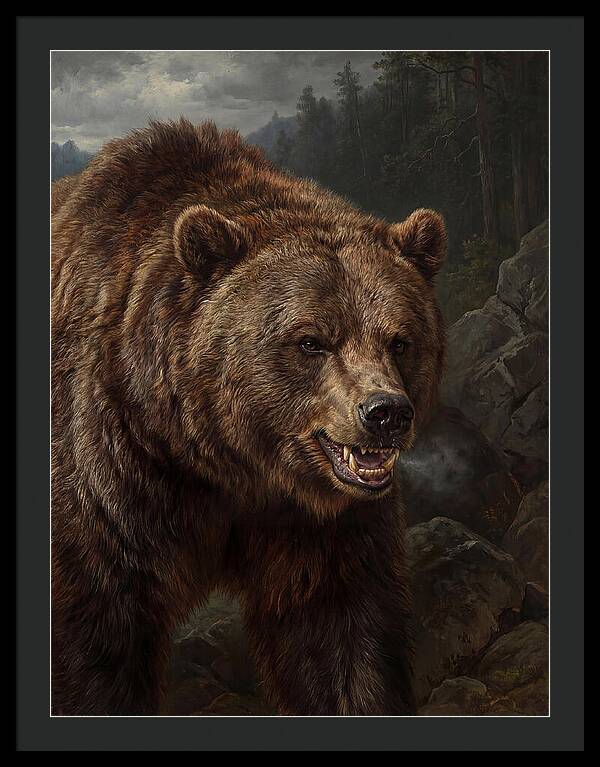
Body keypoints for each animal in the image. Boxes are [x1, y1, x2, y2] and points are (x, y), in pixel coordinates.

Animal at [51, 119, 446, 716]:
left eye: (399, 340)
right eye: (312, 341)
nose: (385, 413)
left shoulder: (321, 525)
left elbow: (341, 639)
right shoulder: (109, 473)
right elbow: (97, 639)